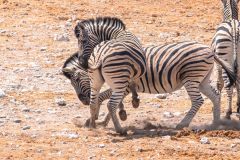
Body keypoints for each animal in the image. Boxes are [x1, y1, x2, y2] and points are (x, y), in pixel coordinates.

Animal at [62, 42, 235, 131]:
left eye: (76, 79)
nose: (83, 101)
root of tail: (210, 50)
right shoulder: (124, 87)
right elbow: (111, 101)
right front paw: (102, 121)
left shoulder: (125, 86)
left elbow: (105, 98)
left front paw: (97, 120)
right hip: (202, 79)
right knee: (215, 95)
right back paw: (215, 123)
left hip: (191, 77)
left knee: (198, 101)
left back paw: (182, 124)